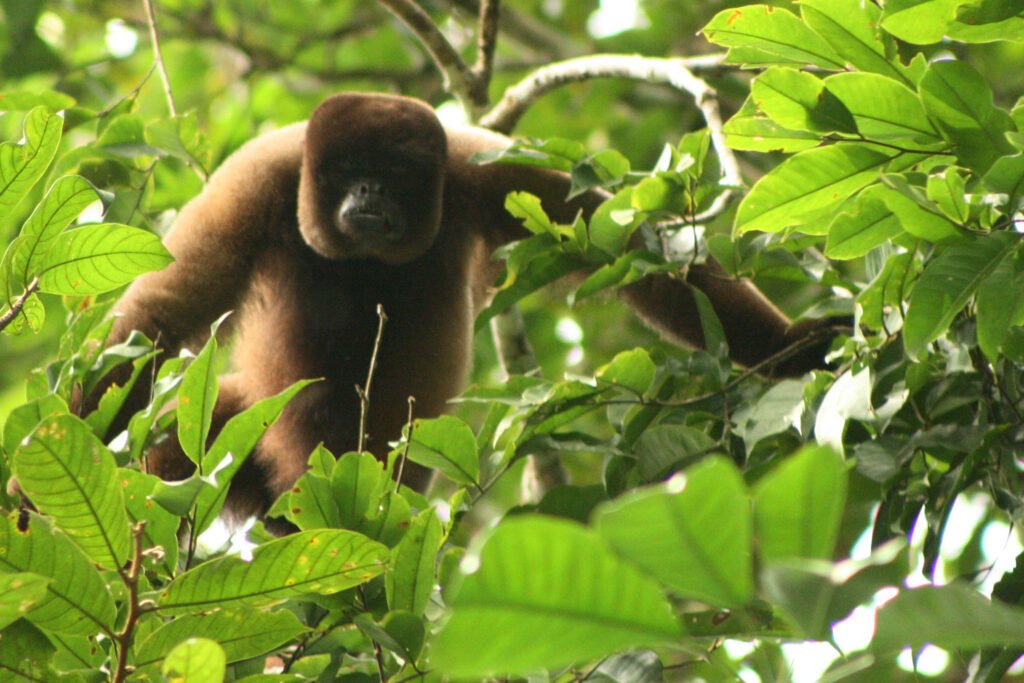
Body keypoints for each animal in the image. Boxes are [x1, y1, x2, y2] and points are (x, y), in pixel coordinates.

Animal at [73, 92, 837, 523]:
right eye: (350, 171)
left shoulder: (481, 169)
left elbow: (627, 246)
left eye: (397, 173)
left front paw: (791, 348)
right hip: (236, 421)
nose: (371, 194)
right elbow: (161, 313)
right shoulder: (259, 178)